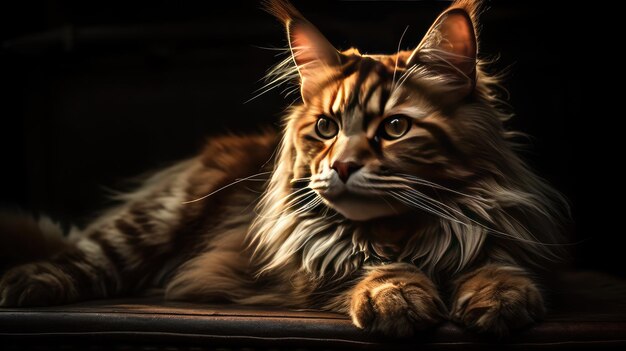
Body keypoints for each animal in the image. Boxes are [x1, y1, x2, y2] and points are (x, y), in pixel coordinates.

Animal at [0, 0, 564, 338]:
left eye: (396, 127)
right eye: (326, 127)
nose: (342, 166)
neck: (405, 229)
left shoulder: (514, 238)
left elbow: (498, 263)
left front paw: (500, 298)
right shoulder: (310, 266)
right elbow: (370, 265)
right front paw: (397, 296)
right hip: (151, 222)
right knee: (81, 258)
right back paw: (24, 286)